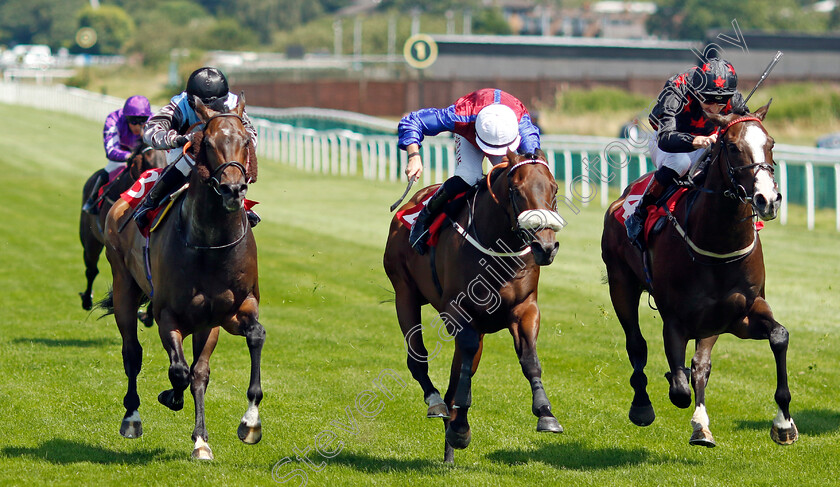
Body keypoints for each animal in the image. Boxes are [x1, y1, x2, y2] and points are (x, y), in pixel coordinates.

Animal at [99, 94, 262, 462]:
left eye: (246, 141)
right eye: (208, 144)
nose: (233, 189)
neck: (210, 243)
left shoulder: (229, 311)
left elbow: (249, 340)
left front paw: (246, 423)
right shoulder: (167, 314)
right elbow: (178, 370)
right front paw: (170, 397)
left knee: (197, 371)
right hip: (123, 284)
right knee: (132, 352)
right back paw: (132, 417)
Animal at [386, 150, 564, 466]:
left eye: (554, 189)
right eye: (516, 191)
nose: (546, 247)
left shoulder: (525, 308)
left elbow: (529, 360)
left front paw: (545, 413)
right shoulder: (460, 313)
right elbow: (464, 373)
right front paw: (460, 429)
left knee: (452, 382)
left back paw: (449, 447)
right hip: (404, 293)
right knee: (417, 359)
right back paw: (436, 403)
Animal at [600, 101, 796, 448]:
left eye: (771, 143)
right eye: (732, 147)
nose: (768, 200)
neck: (718, 243)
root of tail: (623, 197)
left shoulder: (738, 314)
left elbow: (778, 336)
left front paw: (784, 423)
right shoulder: (676, 319)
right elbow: (679, 386)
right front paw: (668, 387)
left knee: (699, 364)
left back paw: (701, 425)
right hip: (621, 284)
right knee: (636, 344)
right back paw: (643, 406)